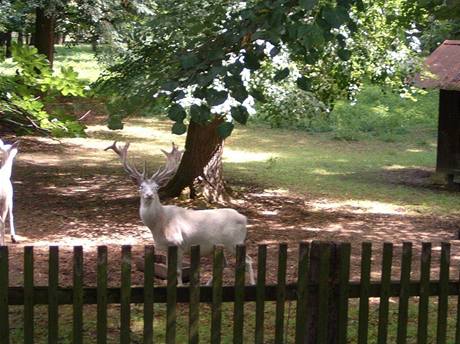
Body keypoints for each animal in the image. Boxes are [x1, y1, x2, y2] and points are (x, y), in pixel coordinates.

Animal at [105, 140, 255, 284]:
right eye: (141, 187)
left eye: (156, 187)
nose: (149, 195)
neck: (159, 223)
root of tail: (244, 218)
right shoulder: (165, 247)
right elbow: (168, 270)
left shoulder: (179, 243)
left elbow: (177, 271)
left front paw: (180, 286)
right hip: (219, 245)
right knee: (224, 263)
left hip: (235, 241)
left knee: (248, 260)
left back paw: (252, 283)